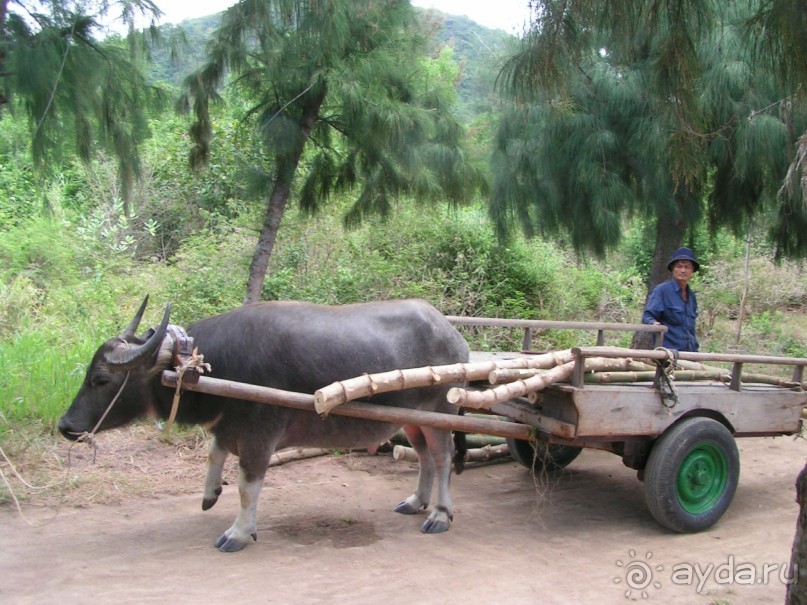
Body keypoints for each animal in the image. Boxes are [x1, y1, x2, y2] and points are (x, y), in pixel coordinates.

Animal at [56, 298, 470, 552]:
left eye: (101, 380)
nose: (66, 424)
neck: (211, 367)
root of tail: (454, 336)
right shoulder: (230, 426)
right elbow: (215, 452)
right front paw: (209, 494)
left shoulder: (260, 435)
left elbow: (246, 486)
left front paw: (238, 533)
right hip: (410, 417)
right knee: (424, 457)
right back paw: (416, 501)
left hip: (440, 411)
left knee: (444, 457)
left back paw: (439, 514)